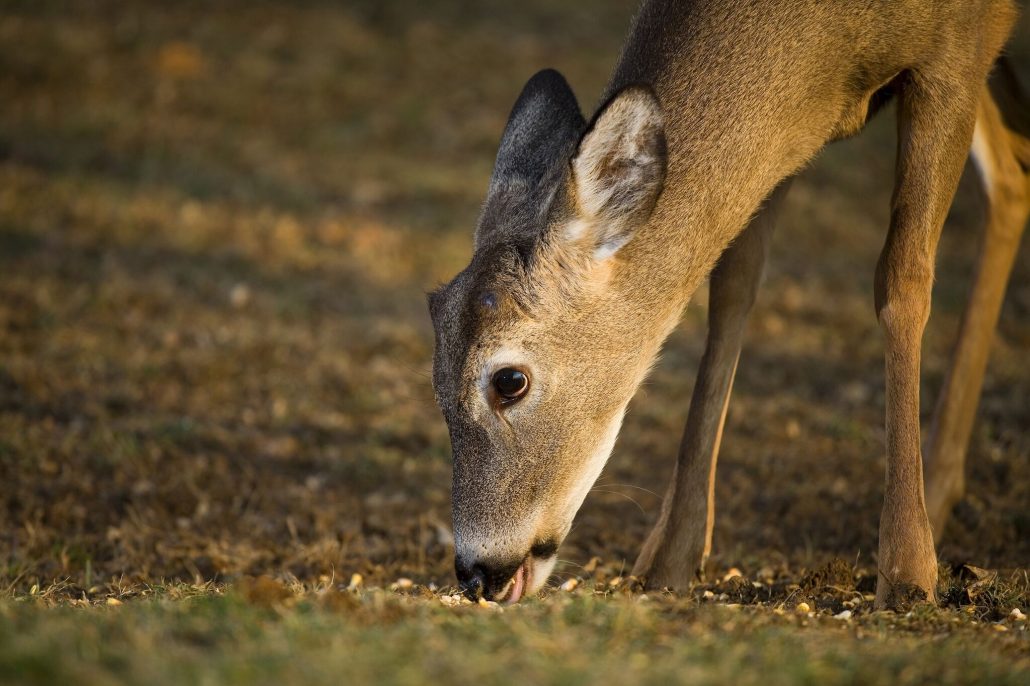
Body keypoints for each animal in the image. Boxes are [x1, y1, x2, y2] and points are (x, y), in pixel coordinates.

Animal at [428, 0, 1030, 610]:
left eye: (509, 381)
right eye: (435, 383)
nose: (478, 573)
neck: (840, 45)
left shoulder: (953, 53)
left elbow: (902, 281)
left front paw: (907, 573)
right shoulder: (790, 131)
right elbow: (734, 286)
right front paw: (669, 560)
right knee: (1013, 172)